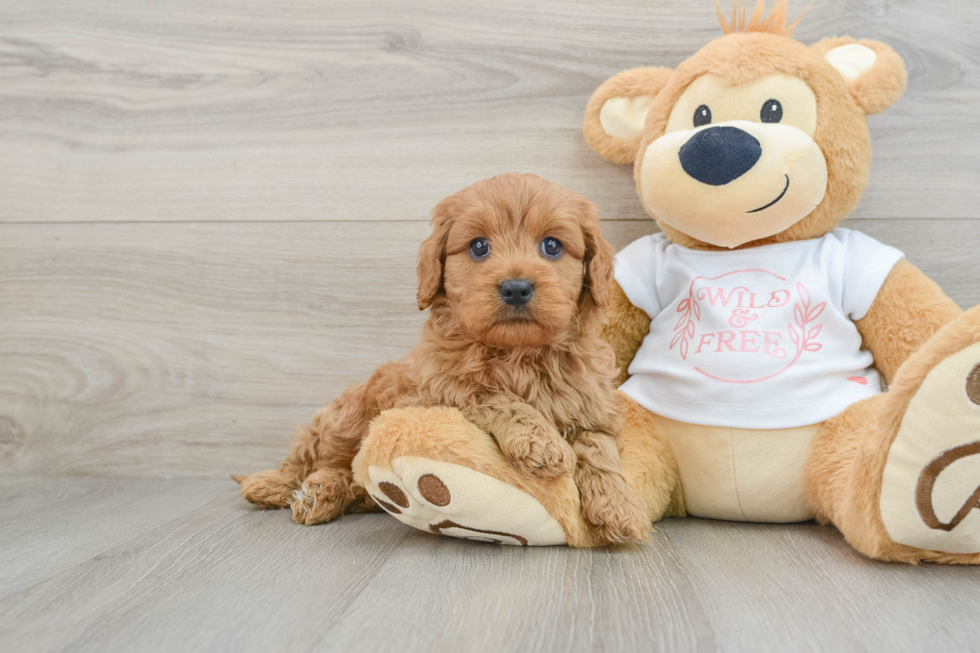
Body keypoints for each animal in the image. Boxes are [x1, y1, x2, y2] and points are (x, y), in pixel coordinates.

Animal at [236, 172, 652, 540]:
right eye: (479, 247)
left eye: (552, 246)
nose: (516, 288)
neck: (519, 354)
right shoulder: (439, 389)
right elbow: (497, 397)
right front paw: (541, 443)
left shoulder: (592, 406)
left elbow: (600, 450)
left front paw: (621, 508)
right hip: (346, 419)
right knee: (310, 454)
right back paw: (273, 485)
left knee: (354, 479)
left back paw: (321, 493)